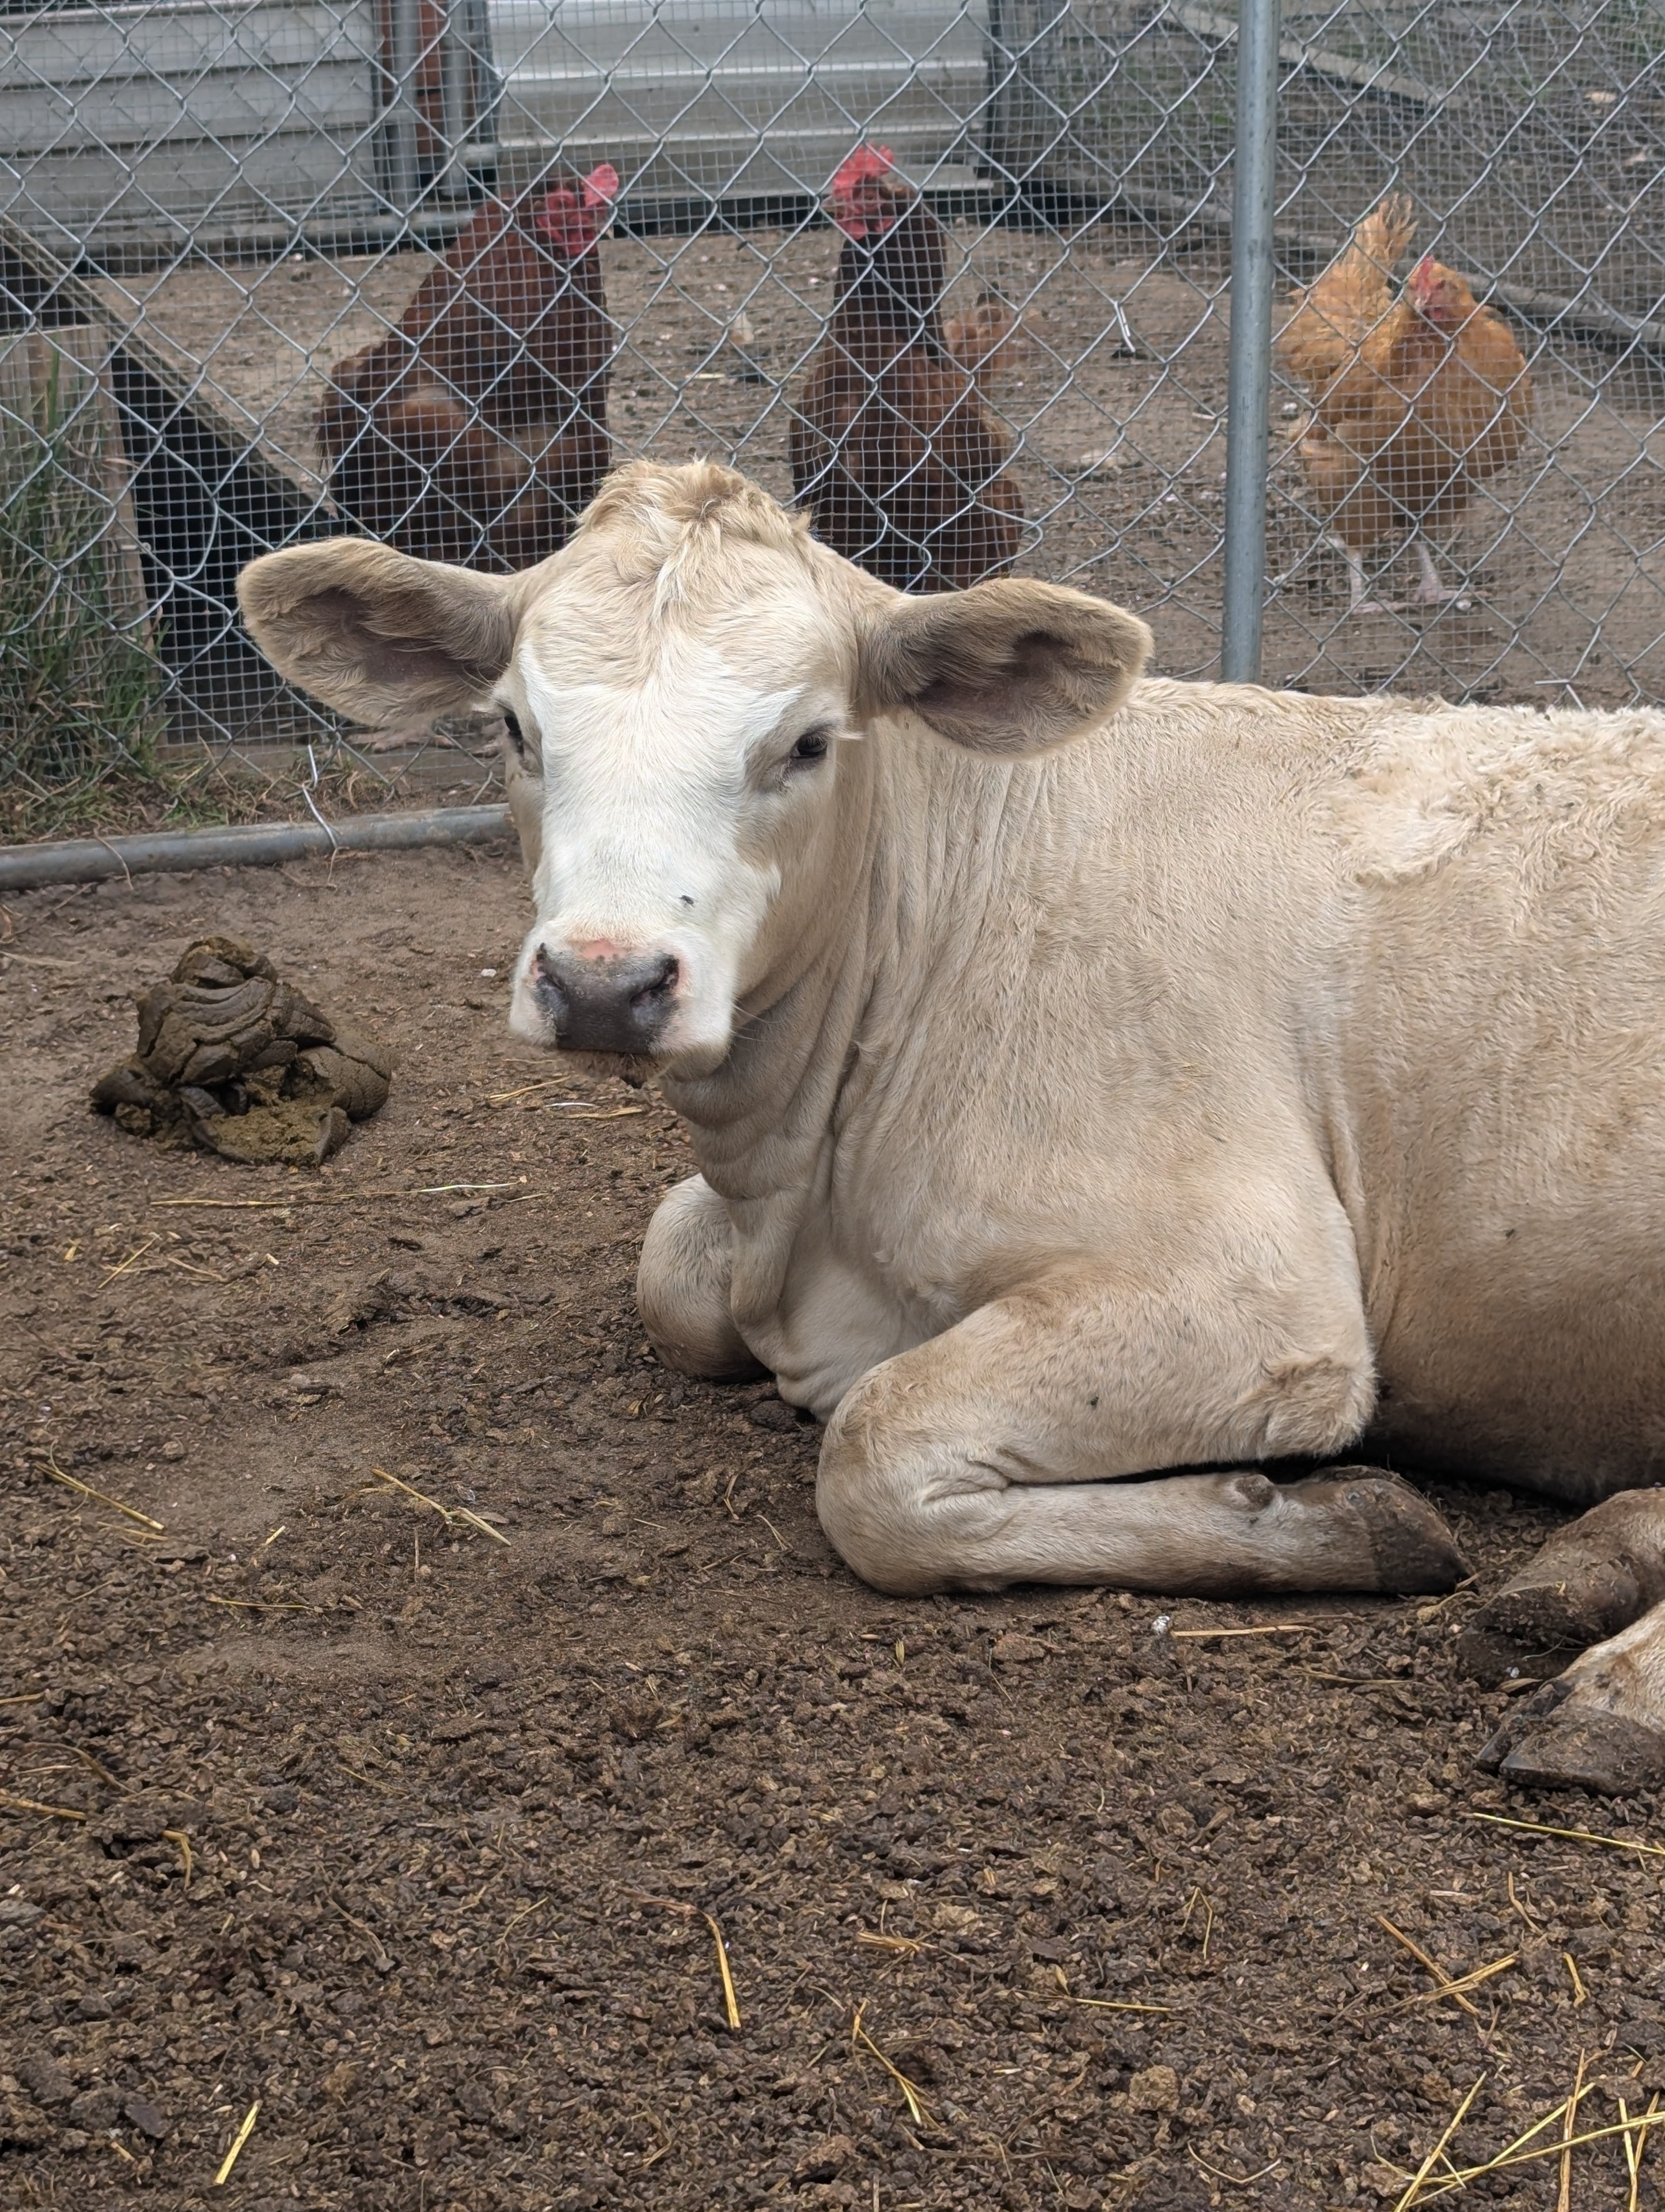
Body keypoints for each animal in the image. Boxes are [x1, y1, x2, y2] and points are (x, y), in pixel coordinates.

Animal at [240, 459, 1665, 1796]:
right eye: (515, 729)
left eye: (807, 743)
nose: (603, 982)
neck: (806, 1178)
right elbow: (669, 1276)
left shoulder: (1264, 1302)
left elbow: (871, 1458)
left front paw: (1331, 1519)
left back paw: (1609, 1694)